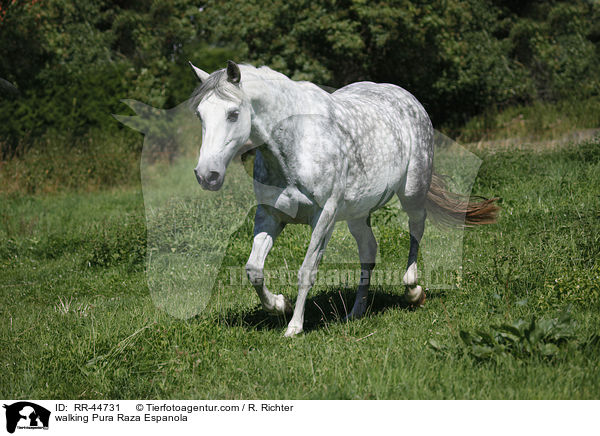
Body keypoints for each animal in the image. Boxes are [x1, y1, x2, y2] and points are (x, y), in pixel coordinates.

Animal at [189, 59, 496, 336]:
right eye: (200, 115)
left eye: (233, 113)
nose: (206, 175)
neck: (295, 143)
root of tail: (407, 98)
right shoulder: (270, 215)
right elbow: (254, 269)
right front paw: (280, 305)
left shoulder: (324, 215)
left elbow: (306, 271)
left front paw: (294, 327)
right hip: (358, 215)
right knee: (368, 251)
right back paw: (356, 312)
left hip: (412, 192)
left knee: (416, 229)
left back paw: (413, 291)